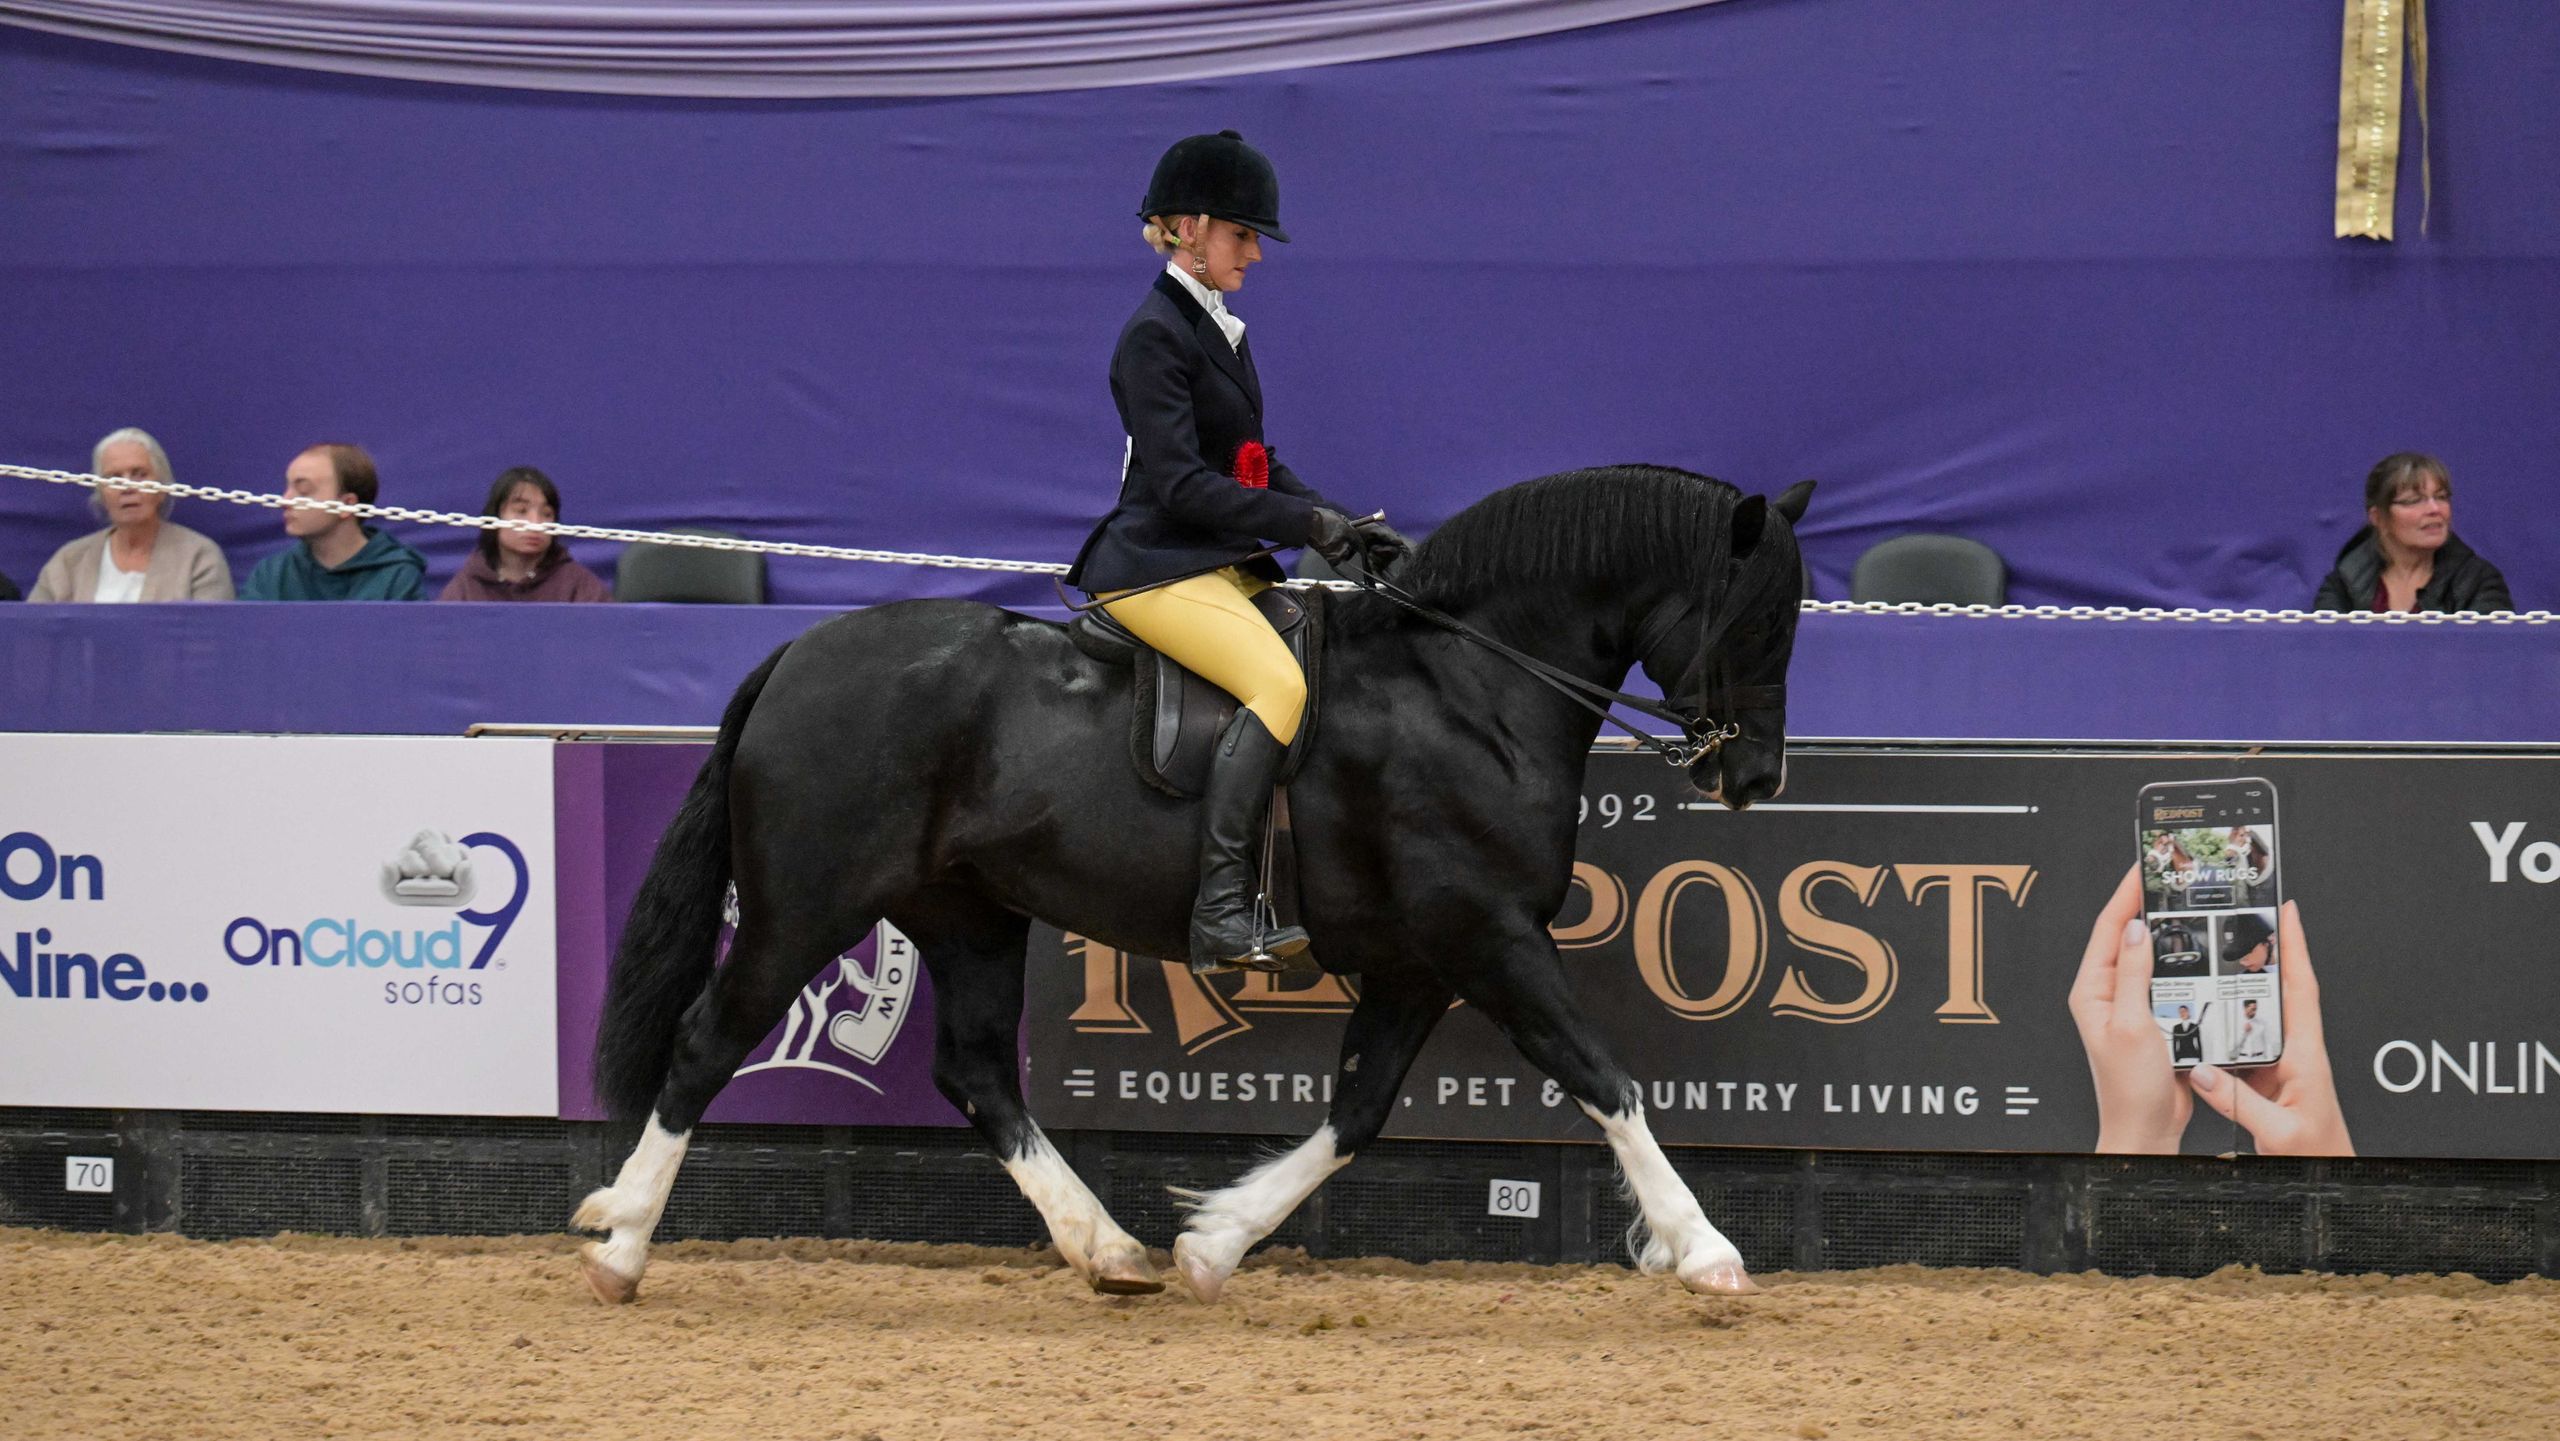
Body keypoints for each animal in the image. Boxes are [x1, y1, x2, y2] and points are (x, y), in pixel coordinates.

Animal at [573, 464, 1813, 1304]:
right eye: (1759, 616)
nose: (1755, 775)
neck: (1465, 685)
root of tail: (797, 654)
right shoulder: (1487, 934)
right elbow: (1605, 1078)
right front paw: (1706, 1252)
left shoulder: (1418, 959)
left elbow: (1357, 1110)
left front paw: (1212, 1243)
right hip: (806, 904)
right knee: (708, 1040)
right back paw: (623, 1242)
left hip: (969, 912)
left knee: (975, 1070)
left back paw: (1108, 1248)